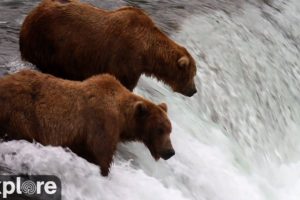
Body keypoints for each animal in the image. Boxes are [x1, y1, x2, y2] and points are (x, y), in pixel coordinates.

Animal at [0, 69, 175, 176]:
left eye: (170, 129)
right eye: (160, 129)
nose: (170, 151)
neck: (123, 119)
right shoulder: (102, 126)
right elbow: (102, 159)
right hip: (21, 115)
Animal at [18, 0, 197, 97]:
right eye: (191, 74)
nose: (193, 90)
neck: (147, 53)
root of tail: (30, 15)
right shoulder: (125, 58)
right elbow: (123, 83)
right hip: (46, 43)